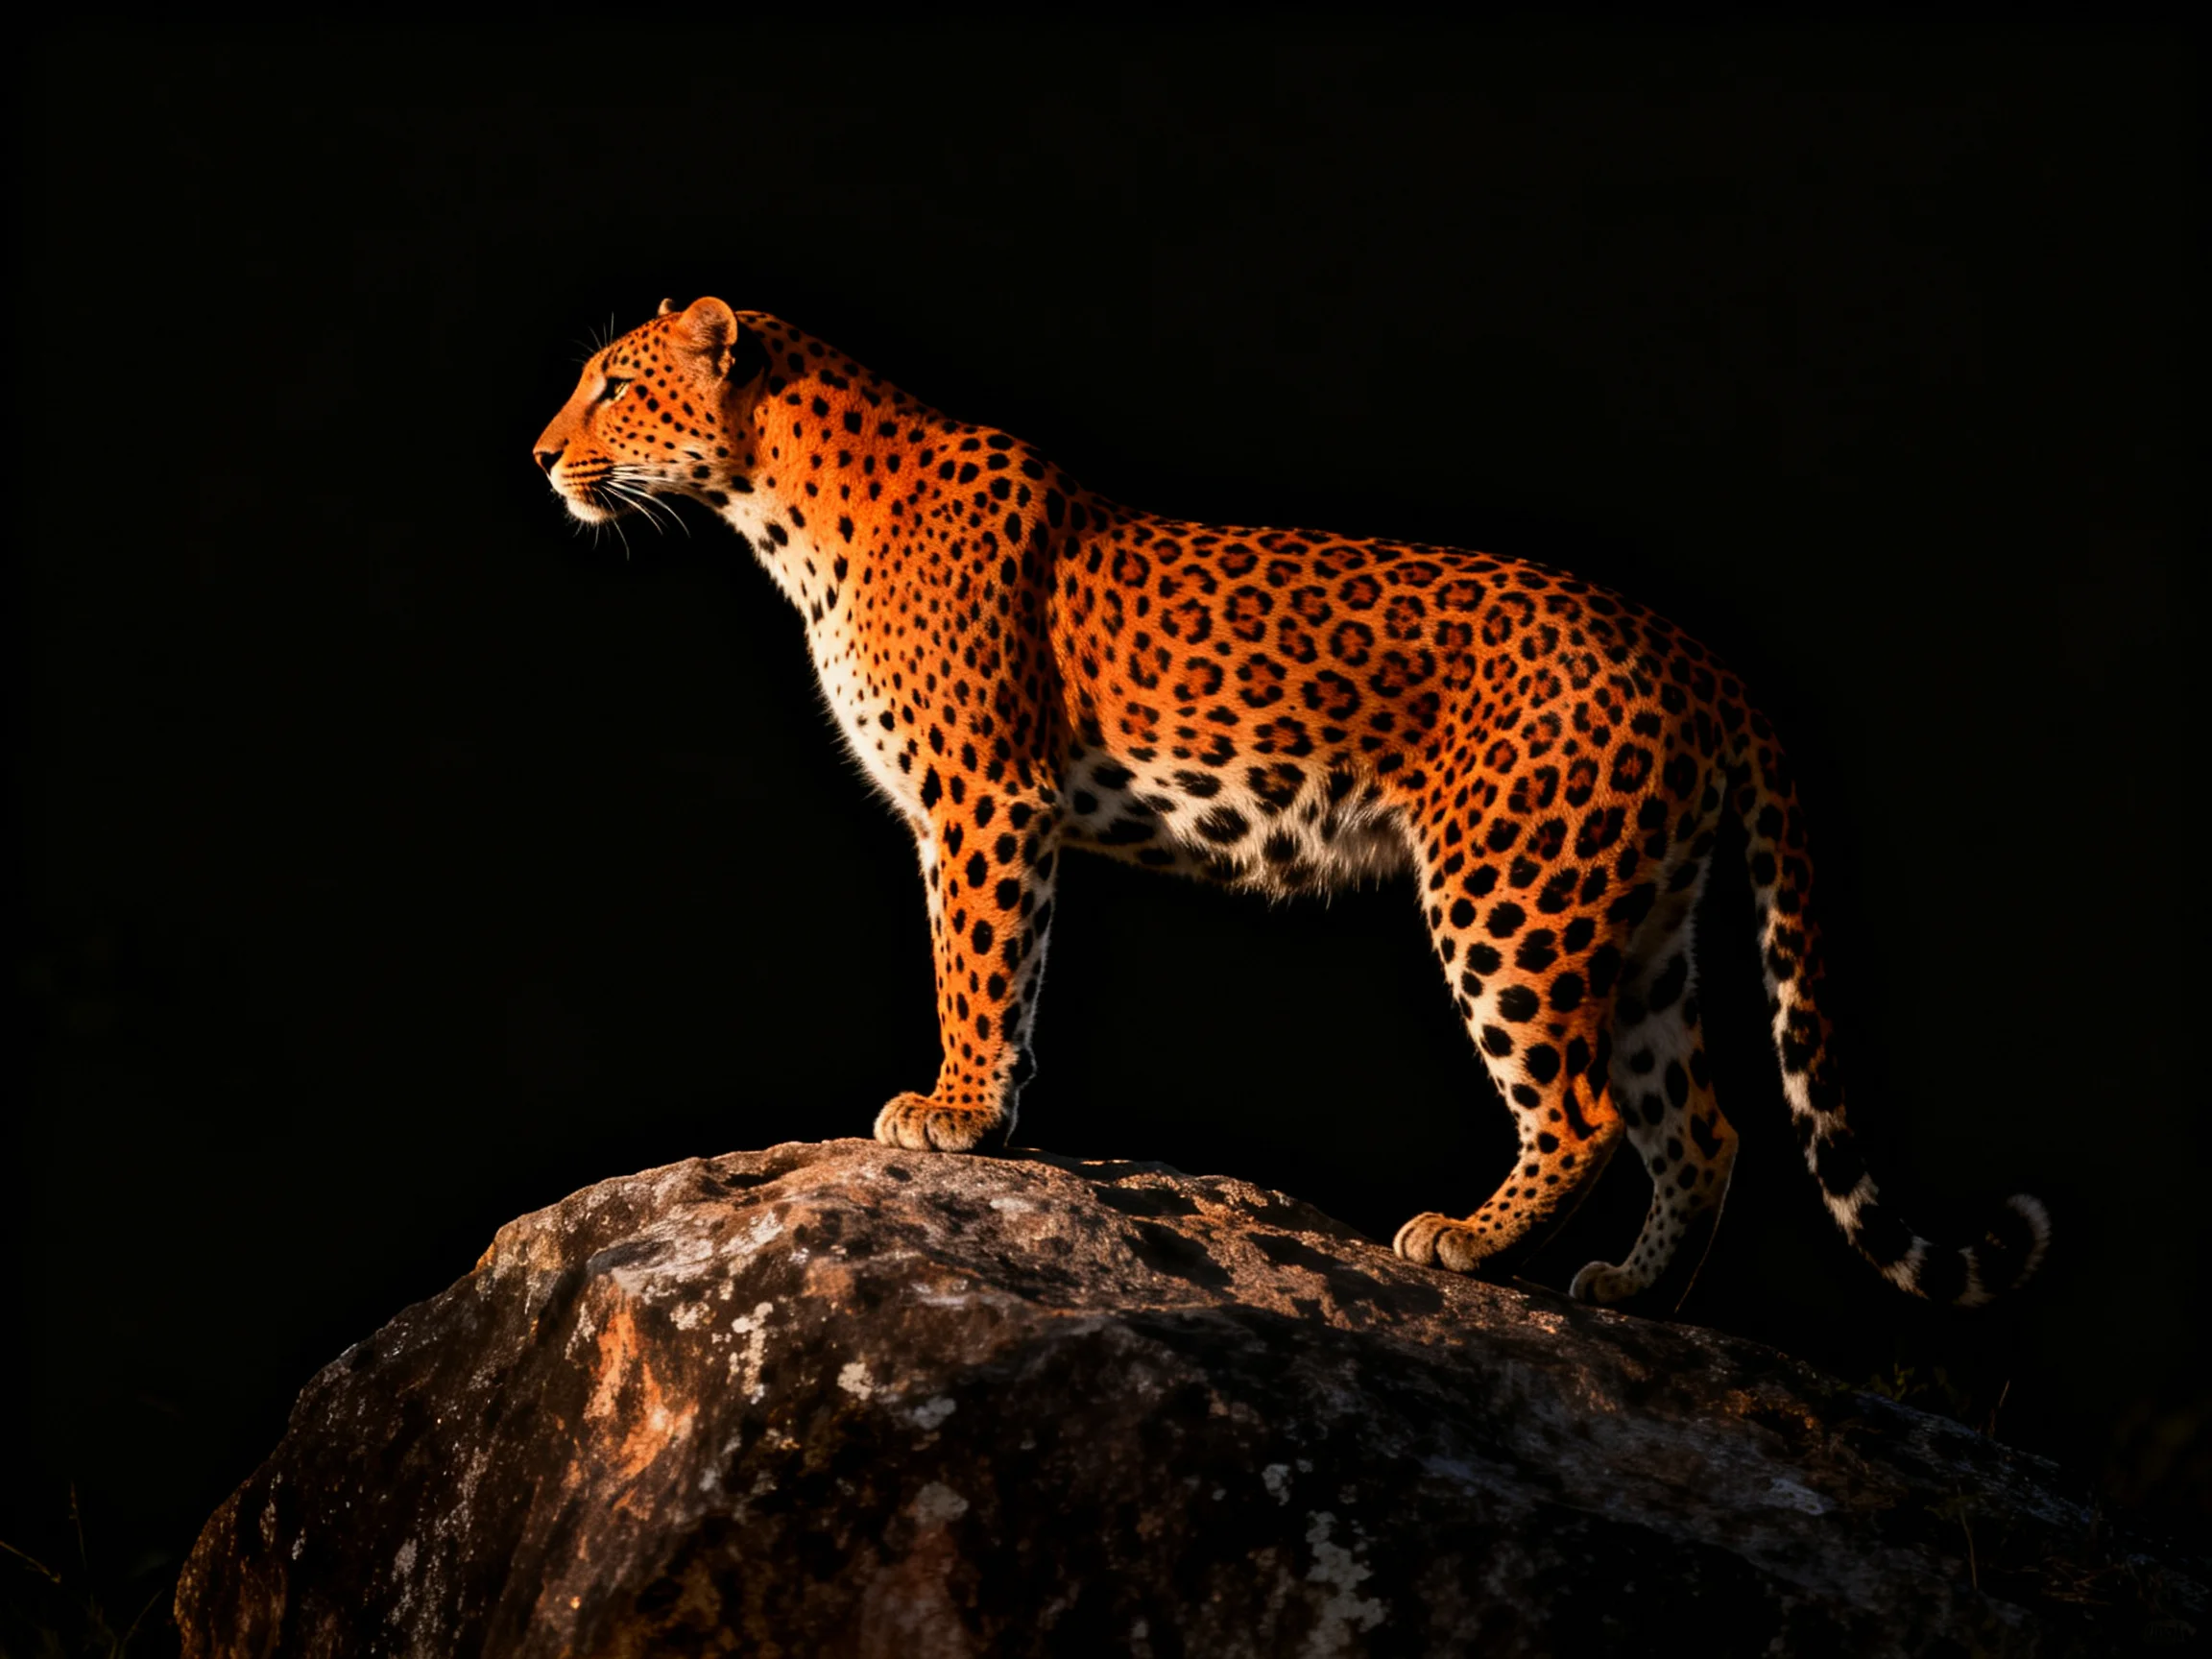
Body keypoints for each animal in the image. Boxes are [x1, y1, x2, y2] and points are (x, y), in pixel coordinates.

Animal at [533, 296, 2049, 1308]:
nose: (543, 457)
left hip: (1512, 889)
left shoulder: (983, 802)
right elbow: (1002, 974)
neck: (781, 510)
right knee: (1703, 1119)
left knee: (1584, 1109)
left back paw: (1464, 1242)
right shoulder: (972, 814)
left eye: (610, 388)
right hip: (1641, 917)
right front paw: (982, 1112)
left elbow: (979, 968)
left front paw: (954, 1114)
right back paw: (1634, 1294)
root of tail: (1695, 652)